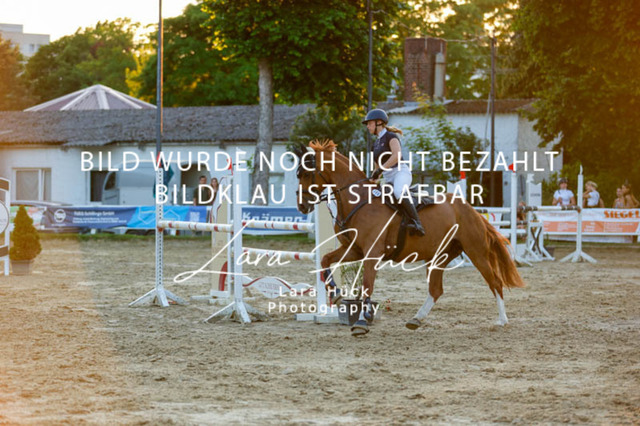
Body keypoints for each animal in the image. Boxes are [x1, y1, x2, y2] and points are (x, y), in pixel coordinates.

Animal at [294, 140, 525, 336]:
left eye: (305, 174)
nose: (301, 206)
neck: (359, 201)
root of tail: (471, 209)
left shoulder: (372, 253)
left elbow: (367, 284)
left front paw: (362, 320)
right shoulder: (354, 250)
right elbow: (325, 260)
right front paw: (336, 294)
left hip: (476, 251)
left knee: (494, 281)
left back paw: (502, 320)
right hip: (438, 257)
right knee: (436, 290)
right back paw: (416, 319)